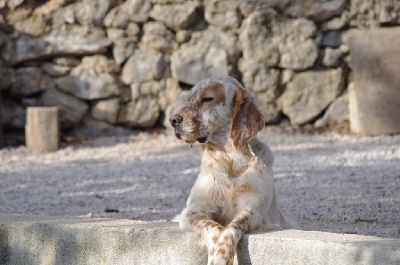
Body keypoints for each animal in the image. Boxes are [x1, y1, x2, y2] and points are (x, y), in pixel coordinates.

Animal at [169, 75, 294, 262]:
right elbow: (215, 227)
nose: (173, 120)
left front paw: (220, 258)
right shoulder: (193, 211)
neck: (230, 160)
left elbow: (229, 229)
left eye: (207, 99)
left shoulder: (253, 210)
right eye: (189, 100)